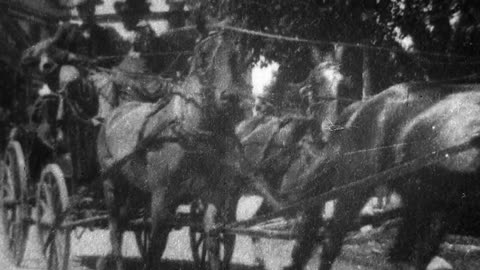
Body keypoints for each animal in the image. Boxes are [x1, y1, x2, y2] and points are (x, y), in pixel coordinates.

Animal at [96, 30, 249, 270]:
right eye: (204, 57)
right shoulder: (161, 198)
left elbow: (212, 241)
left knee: (124, 221)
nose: (231, 98)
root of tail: (112, 116)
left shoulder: (212, 194)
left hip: (133, 189)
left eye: (235, 56)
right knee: (114, 227)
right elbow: (155, 247)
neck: (189, 132)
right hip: (111, 182)